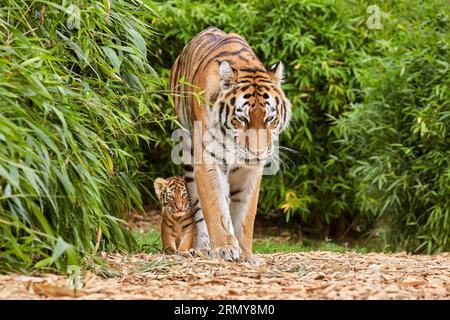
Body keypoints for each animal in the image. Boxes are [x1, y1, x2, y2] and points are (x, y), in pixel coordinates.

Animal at [169, 26, 292, 262]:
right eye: (242, 119)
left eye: (270, 119)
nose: (257, 153)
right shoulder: (208, 161)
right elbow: (215, 208)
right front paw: (225, 248)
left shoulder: (251, 170)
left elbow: (245, 216)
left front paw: (246, 254)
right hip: (188, 154)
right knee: (199, 209)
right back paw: (203, 247)